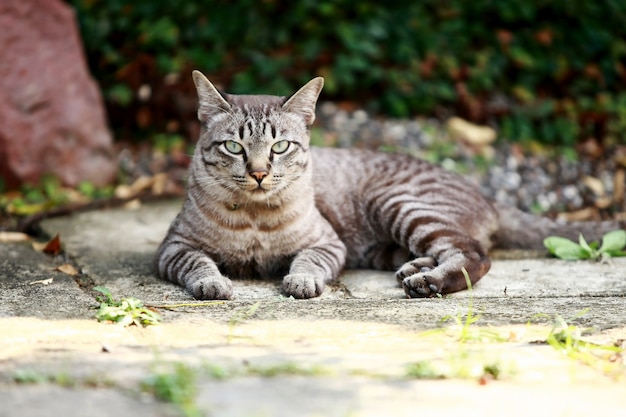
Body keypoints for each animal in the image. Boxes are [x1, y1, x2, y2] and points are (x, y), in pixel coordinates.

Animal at [154, 71, 620, 300]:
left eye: (280, 146)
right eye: (234, 146)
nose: (258, 172)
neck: (253, 217)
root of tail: (488, 196)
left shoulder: (328, 244)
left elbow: (307, 263)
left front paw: (300, 281)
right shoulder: (172, 248)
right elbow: (199, 264)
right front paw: (213, 282)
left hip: (399, 204)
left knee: (475, 254)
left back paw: (429, 282)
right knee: (454, 248)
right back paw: (417, 269)